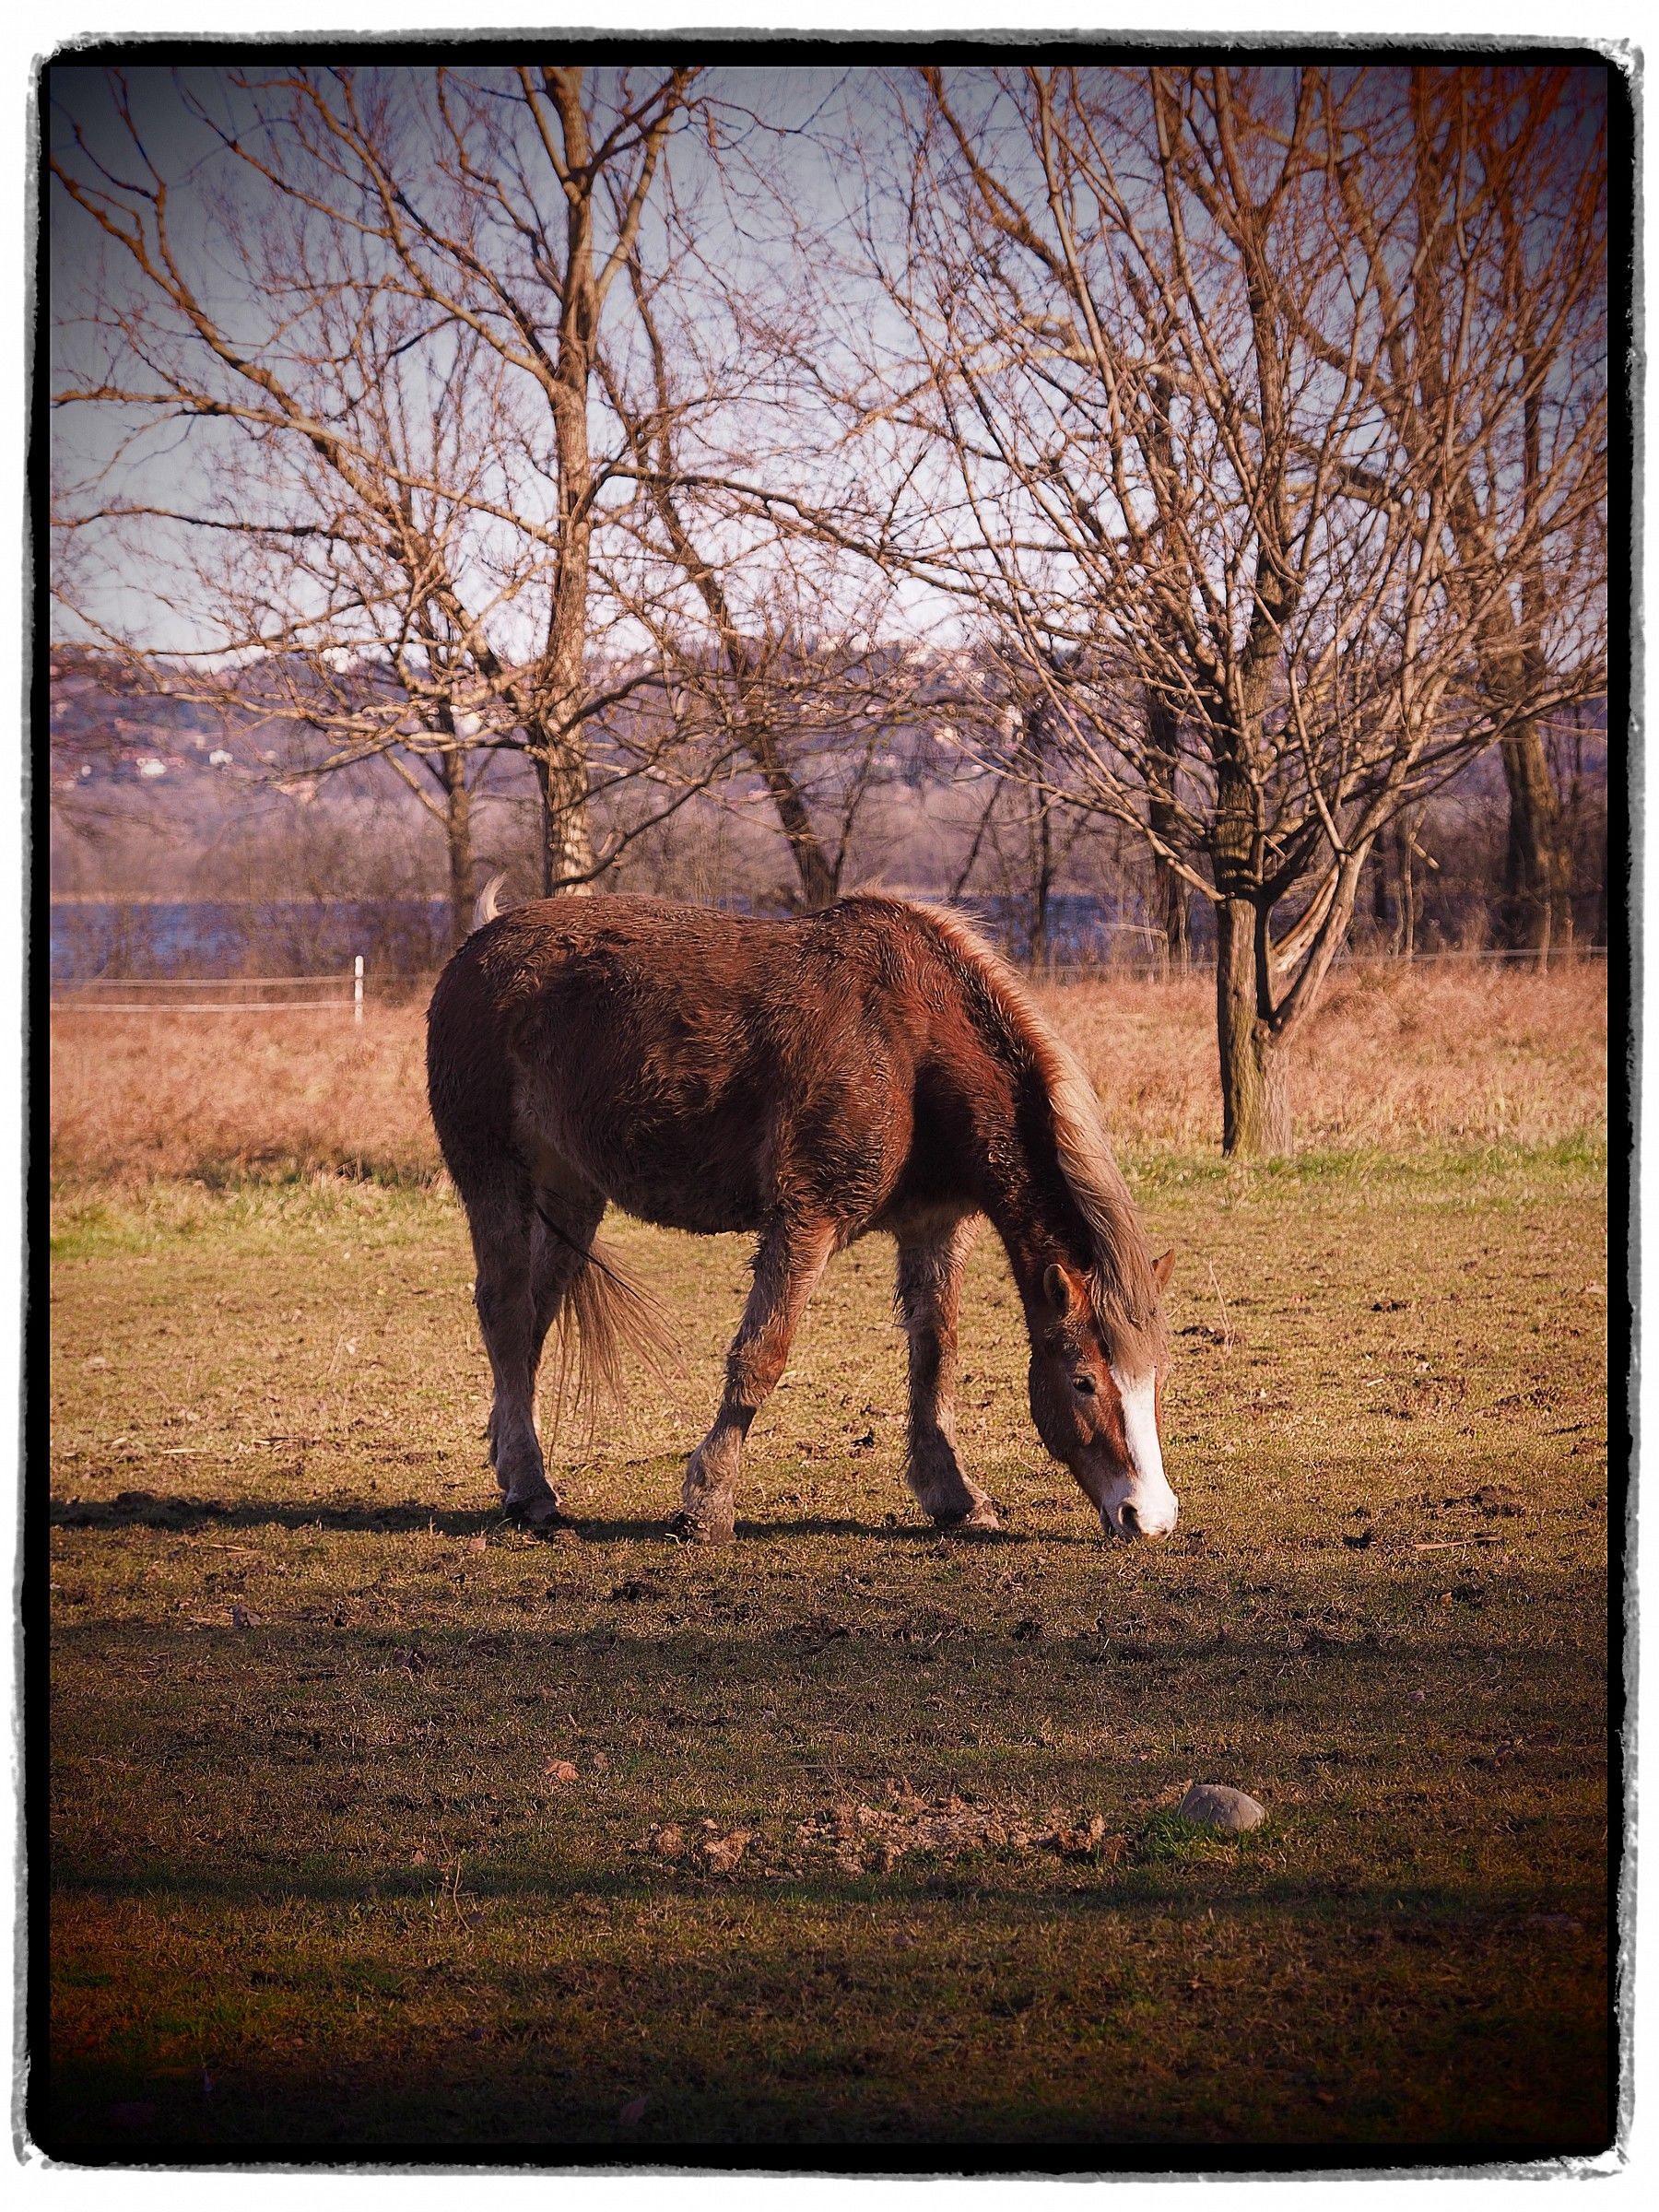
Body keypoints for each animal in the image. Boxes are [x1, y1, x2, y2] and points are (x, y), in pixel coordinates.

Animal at [425, 890, 1177, 1546]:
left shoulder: (936, 1225)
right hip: (495, 1178)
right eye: (1083, 1381)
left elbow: (935, 1353)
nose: (1150, 1517)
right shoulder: (806, 1218)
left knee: (533, 1320)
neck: (910, 1048)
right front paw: (707, 1505)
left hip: (571, 1195)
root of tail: (476, 944)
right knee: (504, 1312)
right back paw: (532, 1495)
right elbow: (762, 1355)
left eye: (1155, 1380)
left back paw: (513, 1469)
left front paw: (956, 1498)